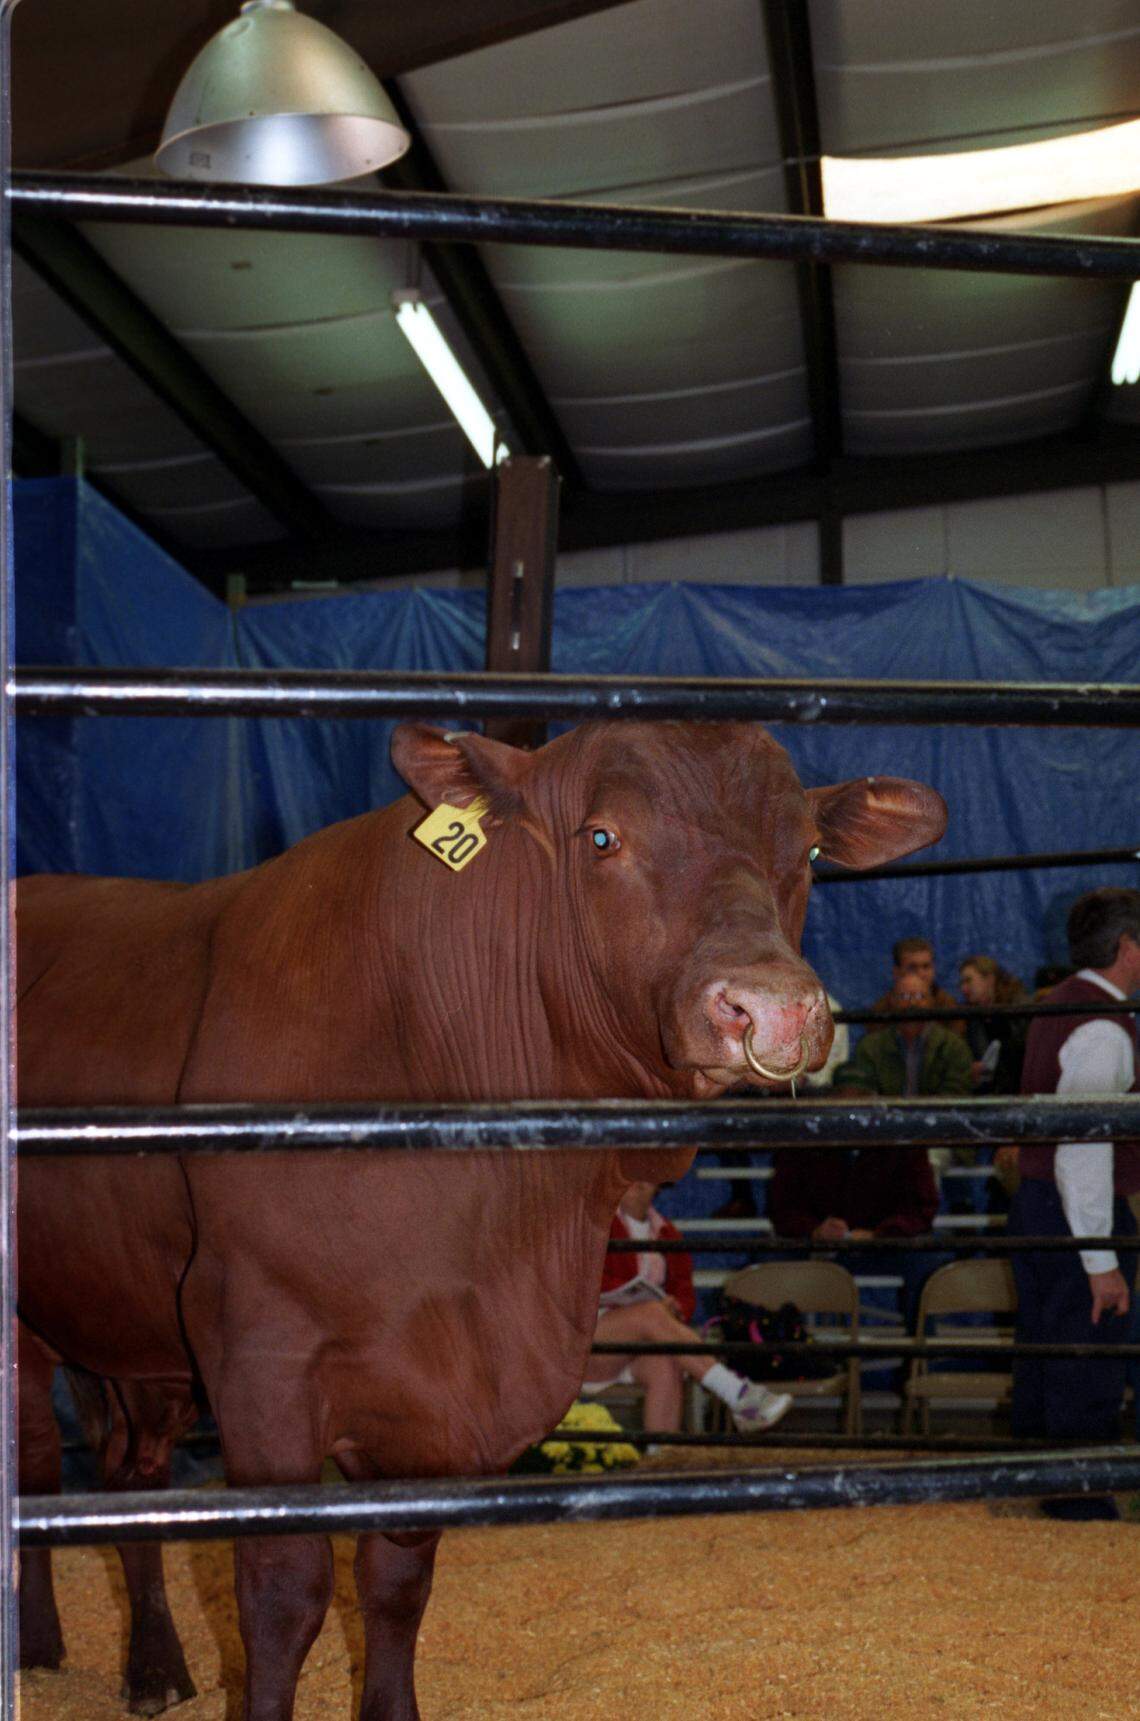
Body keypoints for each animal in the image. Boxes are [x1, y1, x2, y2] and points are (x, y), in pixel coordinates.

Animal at [17, 719, 946, 1719]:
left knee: (131, 1473)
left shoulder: (435, 1390)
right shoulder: (260, 1350)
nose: (770, 1007)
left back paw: (154, 1664)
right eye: (601, 836)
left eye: (808, 850)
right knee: (39, 1459)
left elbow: (396, 1580)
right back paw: (40, 1642)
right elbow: (283, 1589)